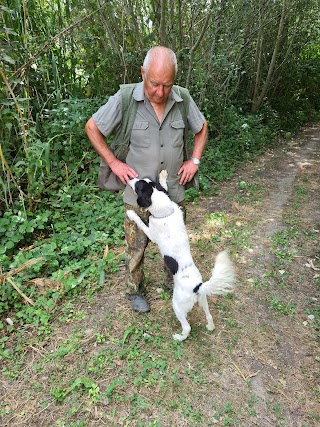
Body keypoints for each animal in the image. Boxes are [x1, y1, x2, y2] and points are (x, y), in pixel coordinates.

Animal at [127, 171, 235, 342]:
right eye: (146, 180)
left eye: (138, 186)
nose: (131, 177)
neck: (165, 213)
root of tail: (197, 287)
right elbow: (165, 187)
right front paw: (163, 176)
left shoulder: (150, 233)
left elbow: (141, 222)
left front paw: (131, 214)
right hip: (203, 300)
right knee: (209, 316)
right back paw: (210, 327)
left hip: (177, 305)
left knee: (187, 327)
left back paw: (179, 337)